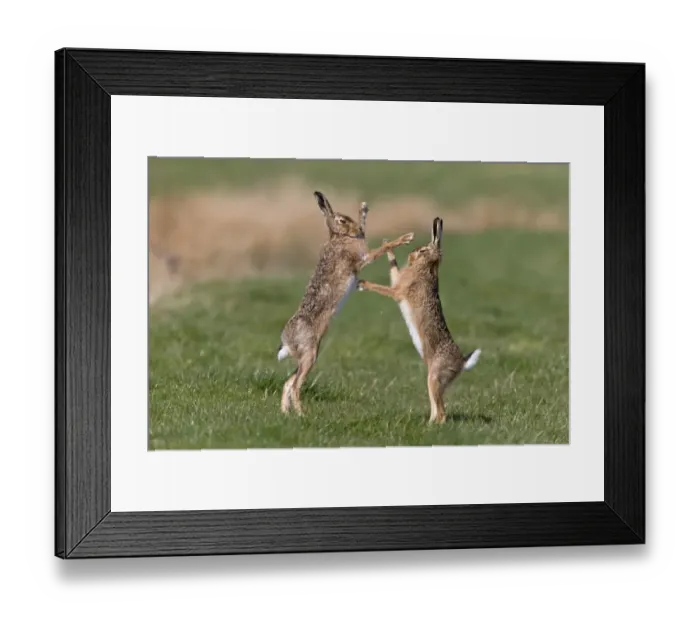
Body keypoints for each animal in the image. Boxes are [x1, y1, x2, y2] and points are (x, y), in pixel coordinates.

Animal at [277, 190, 415, 415]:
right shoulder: (363, 257)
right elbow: (380, 249)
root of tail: (285, 341)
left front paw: (364, 210)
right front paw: (405, 238)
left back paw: (286, 413)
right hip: (309, 354)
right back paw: (303, 414)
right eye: (341, 220)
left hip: (306, 355)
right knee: (296, 385)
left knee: (288, 382)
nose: (355, 229)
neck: (340, 237)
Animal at [357, 217, 481, 424]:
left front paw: (362, 284)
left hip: (435, 377)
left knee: (442, 413)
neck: (426, 267)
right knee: (436, 408)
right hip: (434, 381)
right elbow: (393, 266)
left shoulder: (398, 291)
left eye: (422, 250)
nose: (410, 256)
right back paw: (427, 423)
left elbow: (386, 288)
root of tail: (462, 363)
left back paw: (431, 426)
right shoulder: (398, 280)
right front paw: (387, 243)